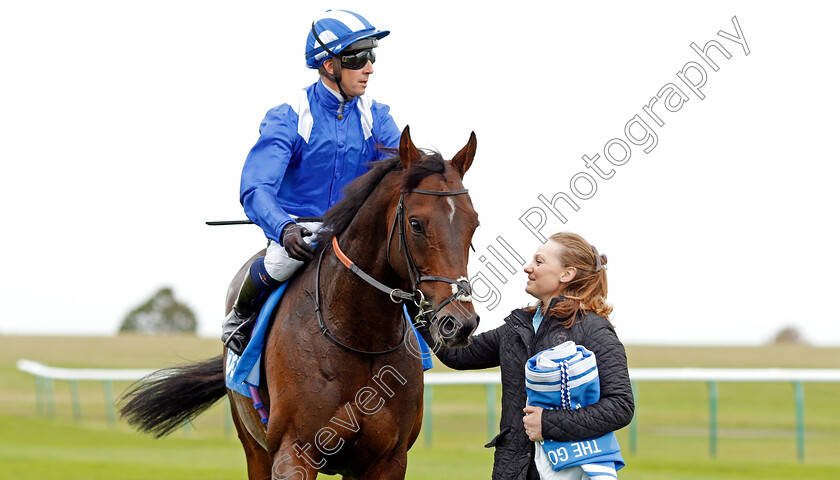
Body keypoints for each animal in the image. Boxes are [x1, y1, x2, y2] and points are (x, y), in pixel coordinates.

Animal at [121, 127, 482, 480]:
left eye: (474, 224)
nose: (459, 322)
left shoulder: (387, 459)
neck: (359, 339)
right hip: (253, 446)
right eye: (416, 224)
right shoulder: (293, 452)